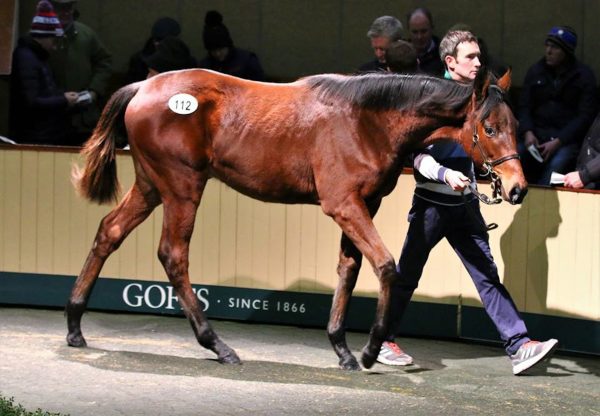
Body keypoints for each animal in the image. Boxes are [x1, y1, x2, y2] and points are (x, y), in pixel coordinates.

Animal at [67, 68, 524, 370]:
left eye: (515, 125)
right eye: (488, 127)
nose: (517, 187)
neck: (365, 119)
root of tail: (144, 86)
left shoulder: (364, 204)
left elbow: (349, 268)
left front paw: (342, 349)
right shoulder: (343, 204)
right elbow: (385, 266)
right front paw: (369, 349)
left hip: (150, 187)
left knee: (109, 232)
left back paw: (74, 324)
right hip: (182, 188)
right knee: (173, 255)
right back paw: (217, 345)